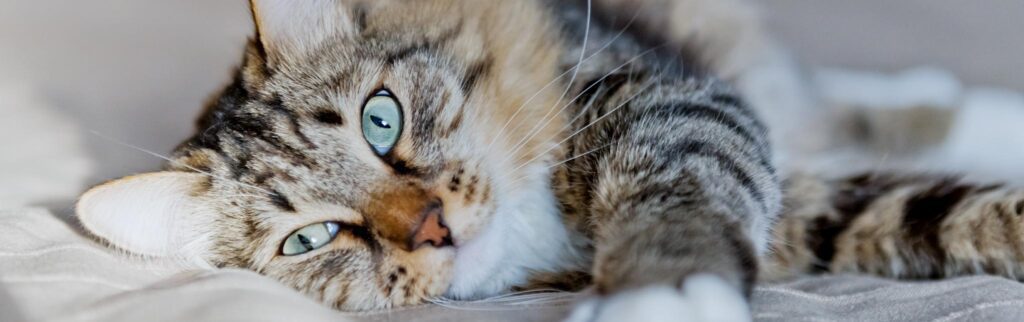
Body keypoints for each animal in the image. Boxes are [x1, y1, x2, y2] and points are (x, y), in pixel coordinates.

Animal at [74, 0, 1024, 321]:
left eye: (381, 120)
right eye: (310, 241)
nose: (432, 227)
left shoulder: (670, 103)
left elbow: (676, 197)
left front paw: (659, 292)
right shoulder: (811, 211)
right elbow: (948, 213)